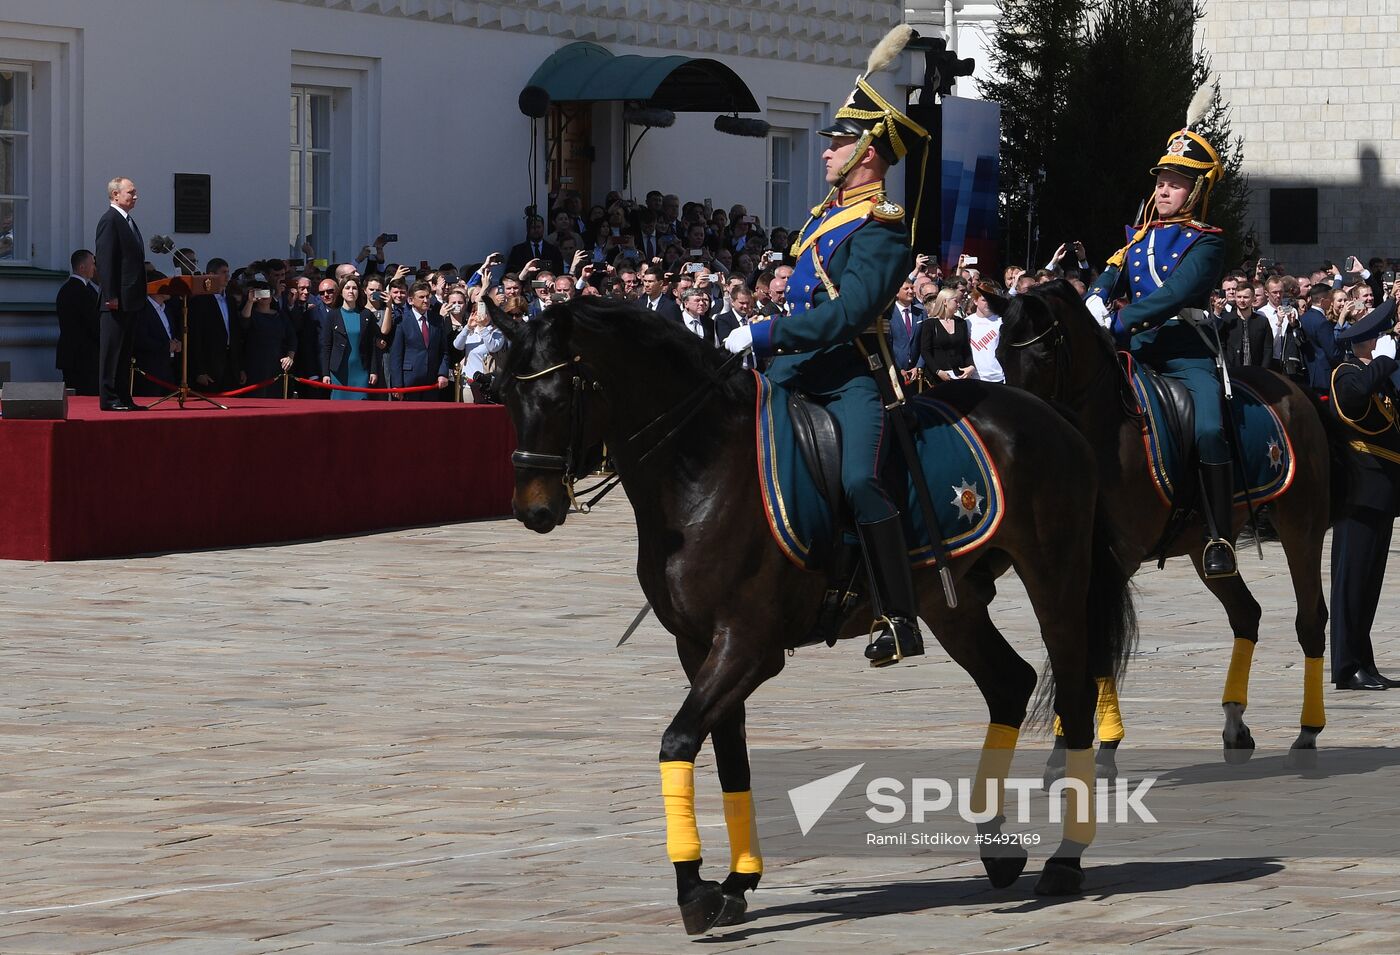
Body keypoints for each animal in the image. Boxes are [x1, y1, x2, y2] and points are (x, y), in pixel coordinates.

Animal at [492, 295, 1136, 929]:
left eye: (558, 397)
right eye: (505, 396)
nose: (533, 510)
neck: (700, 469)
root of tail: (1051, 415)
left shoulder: (750, 645)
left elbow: (678, 741)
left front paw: (693, 890)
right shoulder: (698, 647)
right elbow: (730, 757)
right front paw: (735, 883)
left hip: (1055, 578)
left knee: (1072, 690)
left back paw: (1065, 860)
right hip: (949, 603)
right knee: (1009, 682)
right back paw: (998, 850)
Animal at [996, 281, 1321, 767]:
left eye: (1042, 355)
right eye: (998, 354)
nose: (1018, 429)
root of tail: (1287, 384)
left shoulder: (1114, 560)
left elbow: (1096, 645)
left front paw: (1104, 744)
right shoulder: (1066, 562)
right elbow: (1069, 641)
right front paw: (1065, 741)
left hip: (1301, 525)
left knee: (1311, 618)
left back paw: (1308, 729)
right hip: (1204, 544)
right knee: (1246, 612)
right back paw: (1234, 722)